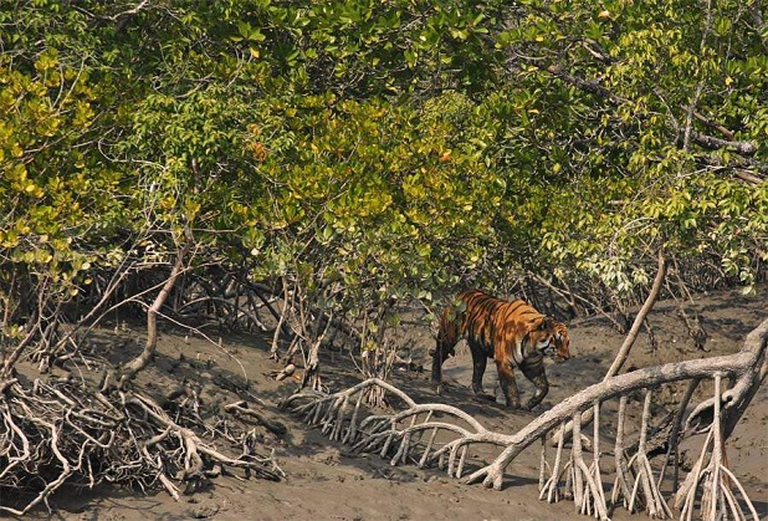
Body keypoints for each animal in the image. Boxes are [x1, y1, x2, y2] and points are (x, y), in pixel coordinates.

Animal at [430, 289, 571, 411]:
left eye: (568, 342)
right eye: (558, 341)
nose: (567, 357)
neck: (533, 348)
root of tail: (462, 293)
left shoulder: (532, 366)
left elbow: (544, 386)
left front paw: (530, 404)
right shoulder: (504, 361)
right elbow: (510, 385)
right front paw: (514, 405)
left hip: (479, 353)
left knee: (477, 373)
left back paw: (483, 394)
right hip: (448, 337)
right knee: (438, 355)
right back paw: (435, 380)